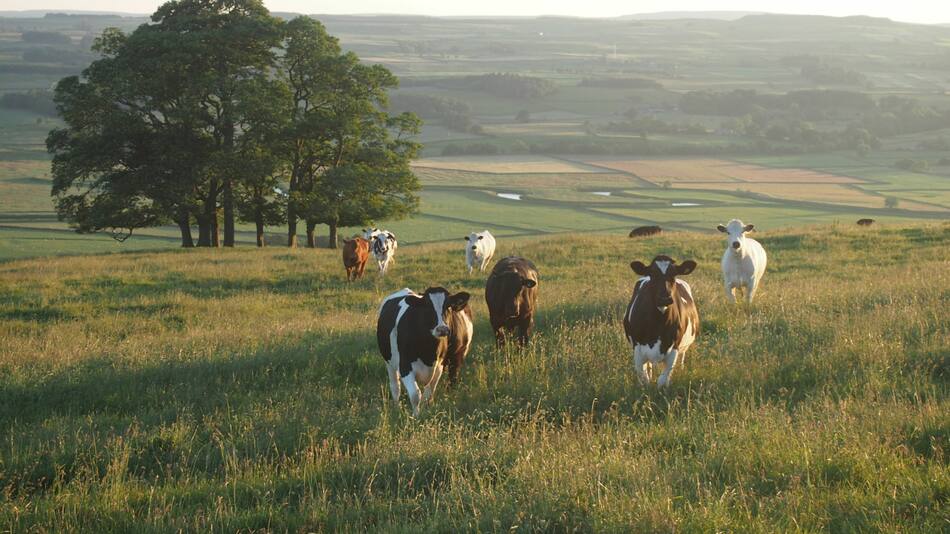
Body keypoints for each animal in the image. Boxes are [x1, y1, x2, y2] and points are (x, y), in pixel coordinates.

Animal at [377, 287, 473, 416]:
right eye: (427, 306)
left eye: (448, 305)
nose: (442, 329)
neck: (428, 351)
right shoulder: (405, 366)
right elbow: (415, 394)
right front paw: (416, 416)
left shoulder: (439, 367)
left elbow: (428, 393)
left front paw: (426, 411)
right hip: (389, 362)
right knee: (395, 387)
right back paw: (397, 408)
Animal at [623, 255, 699, 388]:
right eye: (653, 273)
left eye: (674, 274)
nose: (664, 298)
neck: (658, 324)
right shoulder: (637, 349)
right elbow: (644, 379)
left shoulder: (674, 348)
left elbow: (663, 380)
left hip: (683, 348)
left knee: (682, 358)